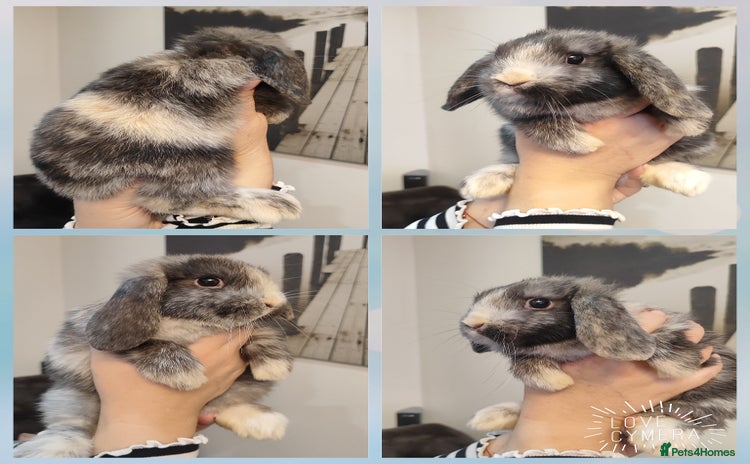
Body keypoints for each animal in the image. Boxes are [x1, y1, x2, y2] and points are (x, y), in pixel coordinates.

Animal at [13, 254, 295, 458]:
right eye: (209, 281)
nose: (272, 301)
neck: (196, 325)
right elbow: (146, 344)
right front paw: (185, 375)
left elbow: (259, 332)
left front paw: (273, 365)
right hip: (71, 402)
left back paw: (266, 423)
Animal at [443, 29, 716, 200]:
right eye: (498, 57)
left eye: (575, 58)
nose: (511, 79)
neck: (586, 110)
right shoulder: (518, 125)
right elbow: (534, 122)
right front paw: (580, 142)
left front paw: (686, 120)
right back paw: (480, 183)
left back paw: (692, 181)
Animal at [460, 275, 735, 453]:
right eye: (478, 299)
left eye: (538, 302)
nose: (472, 323)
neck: (565, 348)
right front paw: (553, 379)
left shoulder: (721, 382)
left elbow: (703, 410)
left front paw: (678, 362)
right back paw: (492, 416)